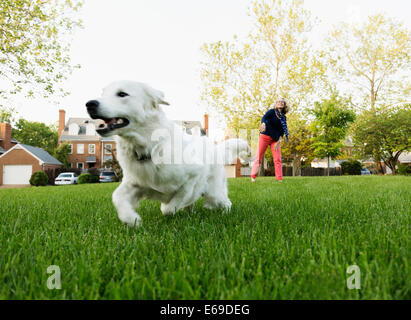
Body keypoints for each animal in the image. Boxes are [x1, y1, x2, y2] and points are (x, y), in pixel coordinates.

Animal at [86, 80, 251, 228]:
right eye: (103, 93)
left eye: (122, 94)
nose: (90, 104)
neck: (150, 147)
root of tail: (215, 149)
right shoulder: (134, 183)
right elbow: (117, 198)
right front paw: (132, 219)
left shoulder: (193, 176)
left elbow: (170, 207)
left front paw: (165, 208)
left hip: (214, 194)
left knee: (225, 202)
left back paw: (224, 213)